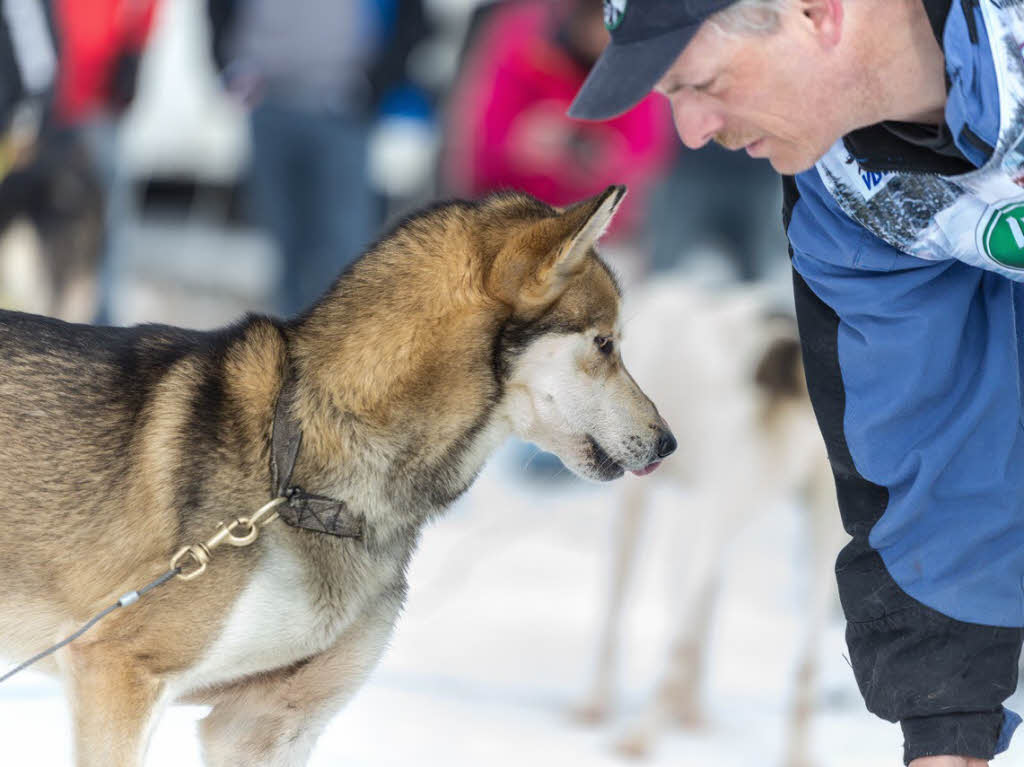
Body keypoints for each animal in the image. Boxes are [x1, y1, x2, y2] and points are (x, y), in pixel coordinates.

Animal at [573, 278, 843, 765]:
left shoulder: (650, 499)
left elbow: (627, 608)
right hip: (812, 530)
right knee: (805, 658)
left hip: (708, 514)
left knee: (671, 634)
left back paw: (638, 735)